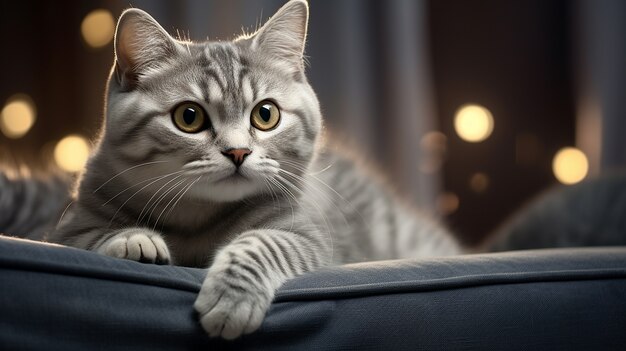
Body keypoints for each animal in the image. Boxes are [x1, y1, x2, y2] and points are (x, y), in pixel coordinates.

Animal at [42, 0, 458, 340]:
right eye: (189, 117)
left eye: (266, 114)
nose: (238, 151)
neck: (196, 217)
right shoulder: (71, 224)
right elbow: (92, 235)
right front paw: (132, 239)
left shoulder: (306, 233)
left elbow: (264, 243)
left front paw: (231, 296)